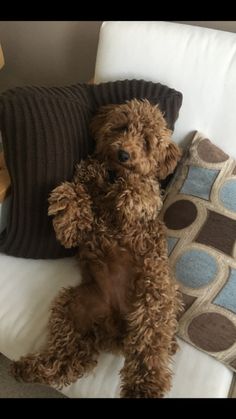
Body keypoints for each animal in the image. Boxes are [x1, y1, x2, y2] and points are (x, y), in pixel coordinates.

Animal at [11, 99, 183, 400]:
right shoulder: (87, 190)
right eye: (122, 127)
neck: (112, 178)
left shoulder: (142, 211)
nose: (124, 153)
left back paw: (143, 388)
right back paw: (29, 369)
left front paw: (131, 189)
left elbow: (143, 188)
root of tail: (116, 329)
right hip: (73, 308)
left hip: (153, 297)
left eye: (146, 142)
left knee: (148, 352)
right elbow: (74, 190)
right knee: (68, 360)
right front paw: (69, 220)